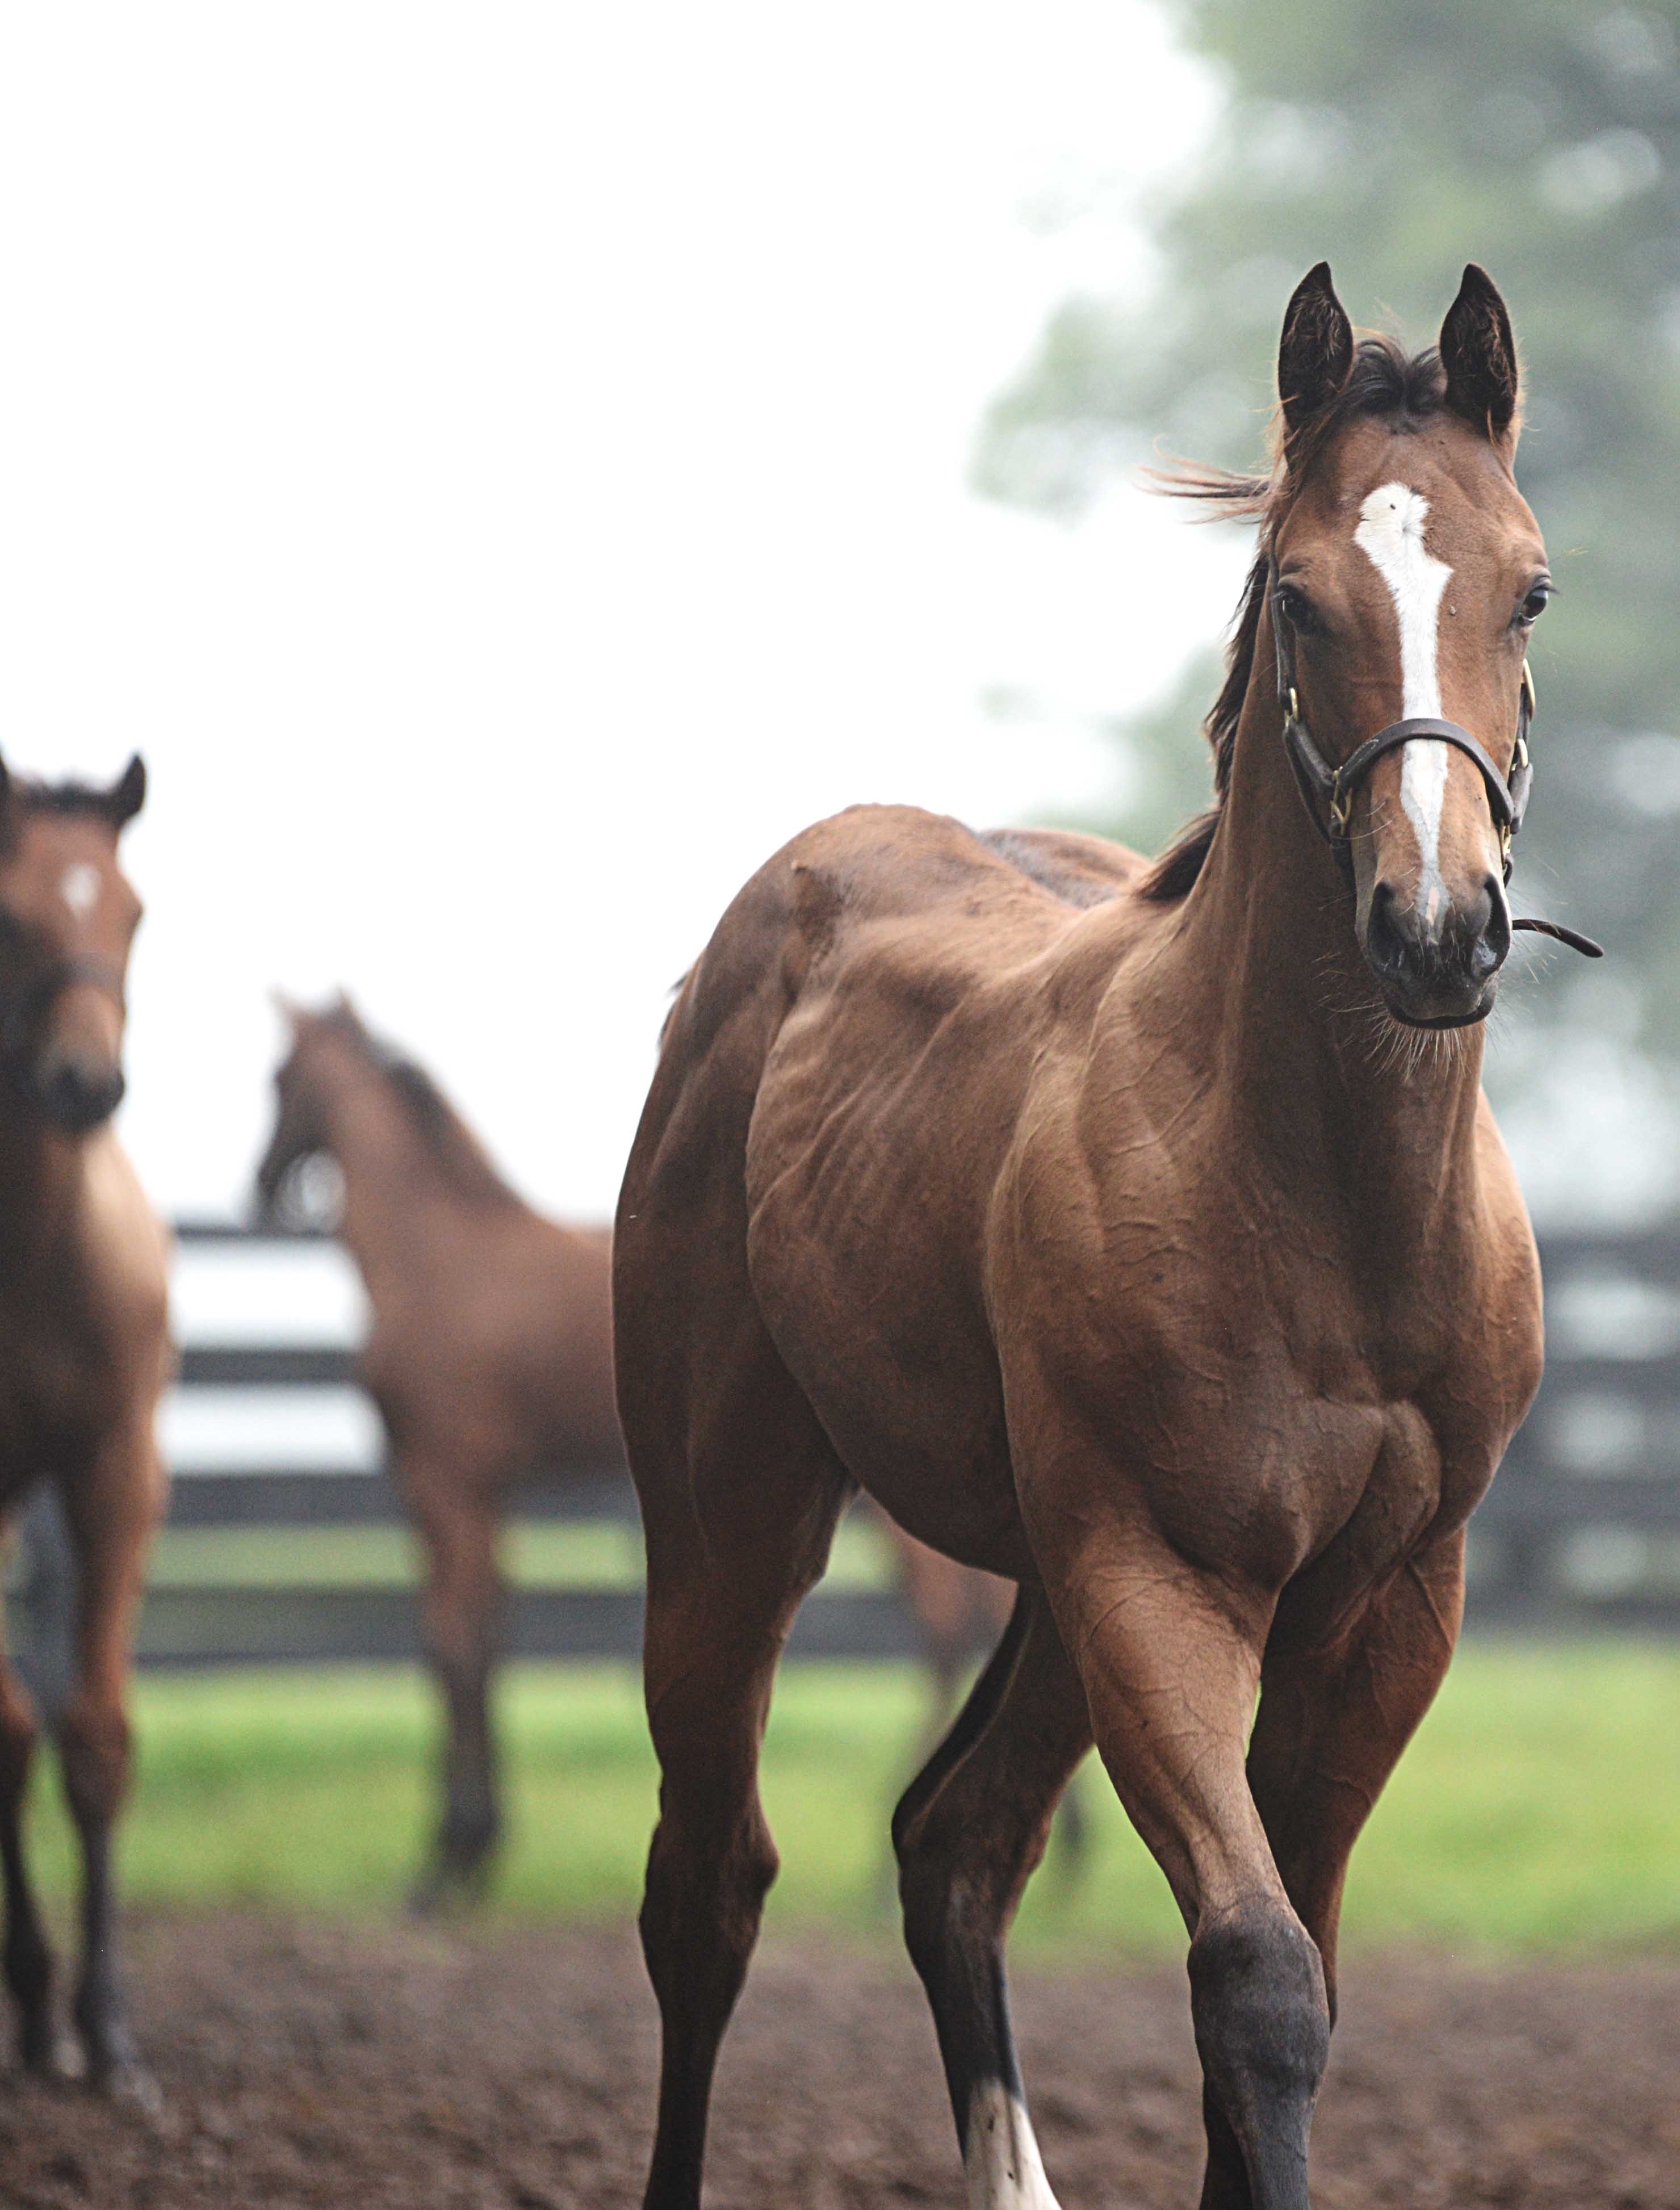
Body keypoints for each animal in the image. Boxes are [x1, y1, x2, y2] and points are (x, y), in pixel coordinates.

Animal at [259, 999, 627, 1900]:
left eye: (281, 1078)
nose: (262, 1183)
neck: (433, 1254)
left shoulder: (442, 1483)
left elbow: (449, 1648)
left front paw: (444, 1859)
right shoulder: (486, 1493)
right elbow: (487, 1641)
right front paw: (480, 1847)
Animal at [614, 271, 1591, 2210]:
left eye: (1523, 586)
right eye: (1298, 592)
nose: (1435, 931)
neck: (1322, 1205)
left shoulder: (1383, 1606)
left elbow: (1296, 1974)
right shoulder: (1160, 1572)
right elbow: (1259, 1980)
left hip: (1041, 1593)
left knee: (952, 1841)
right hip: (733, 1521)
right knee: (707, 1888)